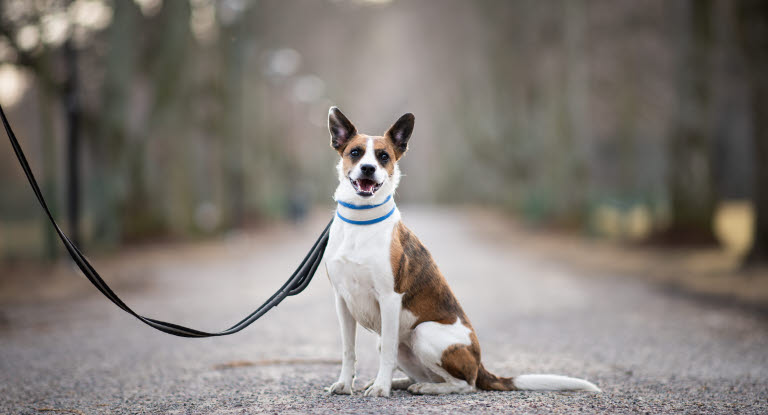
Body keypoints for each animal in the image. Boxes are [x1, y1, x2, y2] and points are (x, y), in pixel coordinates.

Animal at [320, 108, 596, 400]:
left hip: (423, 333)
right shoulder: (342, 301)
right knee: (418, 370)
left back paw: (422, 387)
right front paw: (345, 384)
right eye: (355, 152)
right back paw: (401, 383)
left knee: (464, 384)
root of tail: (480, 364)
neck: (360, 223)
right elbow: (348, 351)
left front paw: (381, 388)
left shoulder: (390, 299)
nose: (368, 169)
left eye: (383, 156)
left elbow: (386, 357)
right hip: (402, 345)